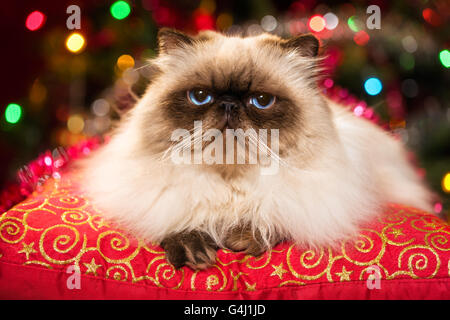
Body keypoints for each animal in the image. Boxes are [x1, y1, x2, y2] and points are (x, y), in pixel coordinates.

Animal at [81, 28, 436, 270]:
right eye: (200, 96)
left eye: (262, 101)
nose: (227, 104)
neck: (230, 181)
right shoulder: (155, 198)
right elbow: (175, 218)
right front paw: (195, 251)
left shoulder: (318, 201)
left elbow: (275, 215)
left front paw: (242, 238)